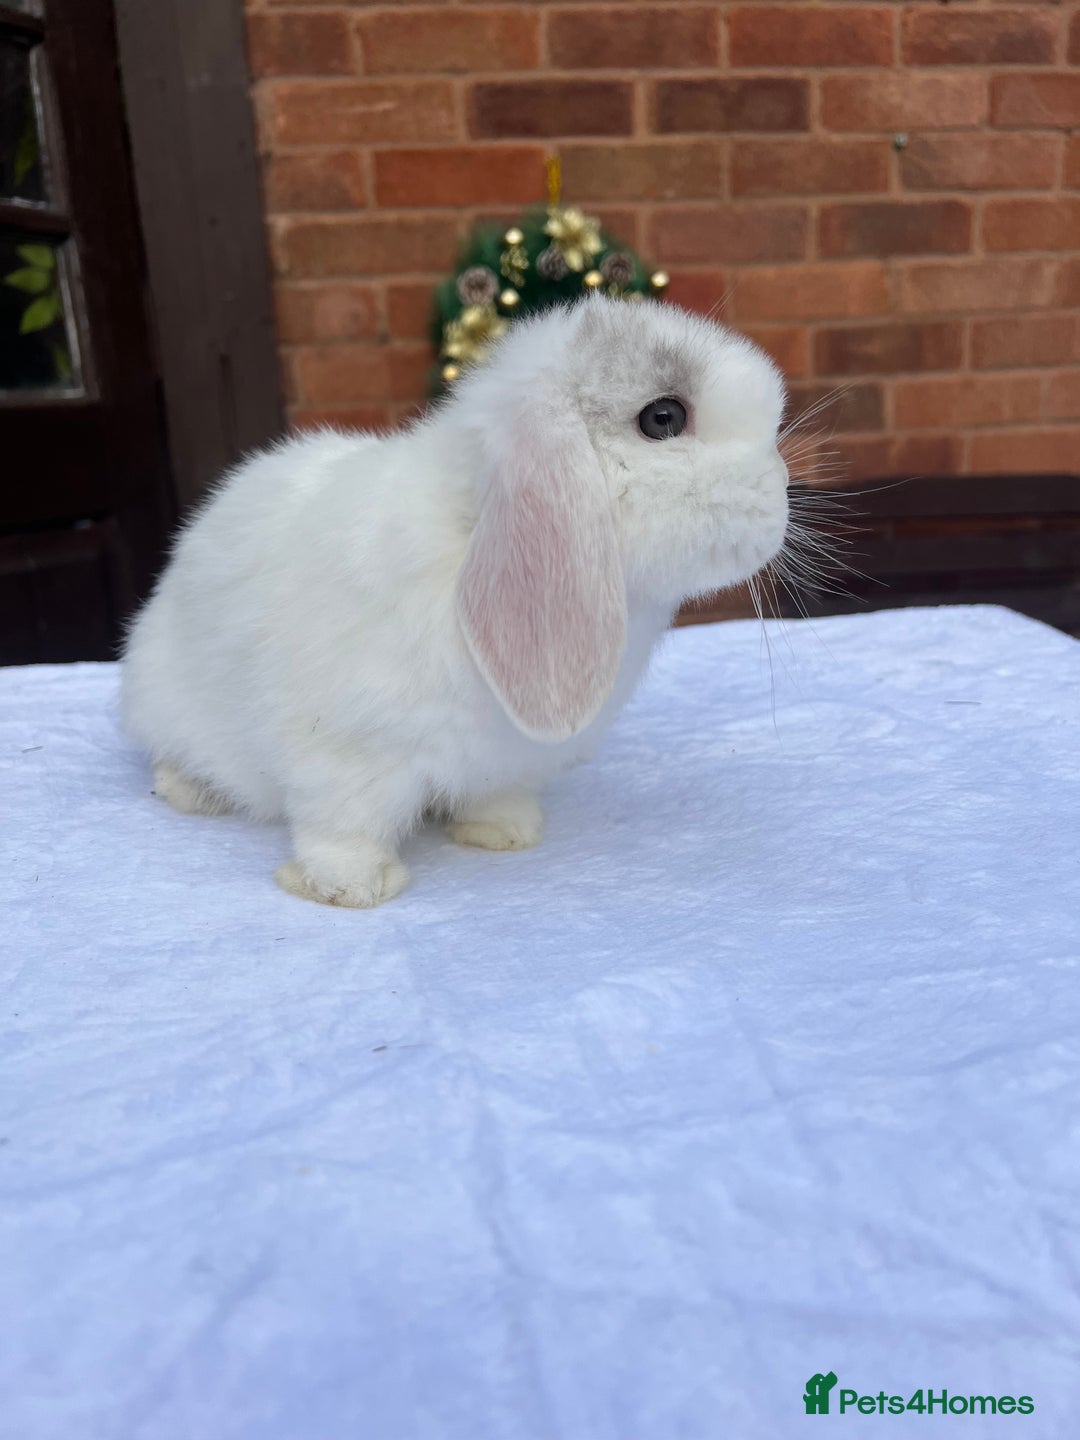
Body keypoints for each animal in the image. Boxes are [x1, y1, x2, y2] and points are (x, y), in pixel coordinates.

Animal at [121, 294, 790, 907]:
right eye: (663, 417)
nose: (781, 493)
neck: (469, 536)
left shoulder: (504, 757)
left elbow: (494, 796)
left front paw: (504, 834)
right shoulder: (343, 754)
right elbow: (341, 827)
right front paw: (351, 889)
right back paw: (192, 792)